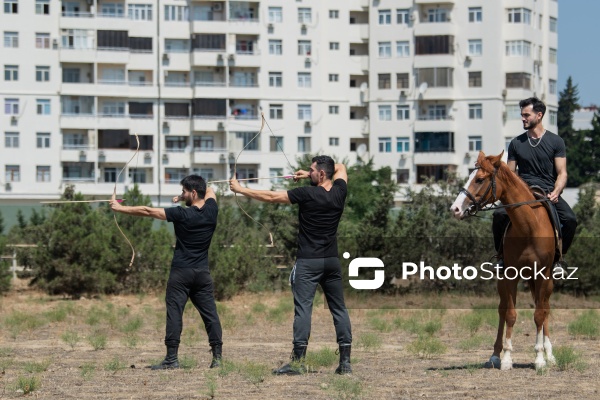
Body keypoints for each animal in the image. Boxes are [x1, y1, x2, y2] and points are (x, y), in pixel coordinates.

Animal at [452, 152, 556, 370]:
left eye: (479, 179)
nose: (455, 208)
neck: (528, 227)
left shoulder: (543, 275)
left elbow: (539, 314)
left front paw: (540, 358)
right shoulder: (510, 275)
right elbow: (510, 314)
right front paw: (507, 357)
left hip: (546, 281)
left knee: (544, 307)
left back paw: (549, 353)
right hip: (505, 281)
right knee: (502, 309)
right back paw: (495, 355)